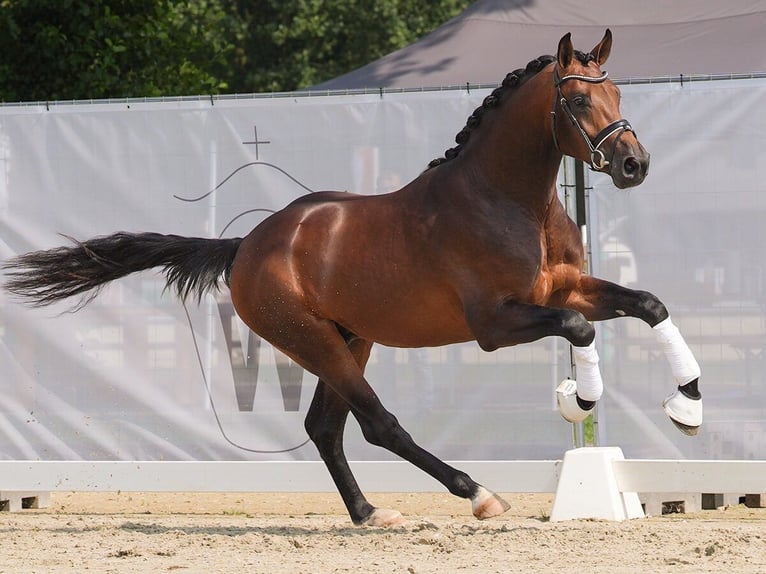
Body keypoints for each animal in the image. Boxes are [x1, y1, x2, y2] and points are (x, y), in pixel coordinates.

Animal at [4, 30, 704, 528]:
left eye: (620, 96)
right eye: (579, 98)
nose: (635, 164)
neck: (509, 200)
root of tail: (248, 245)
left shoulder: (561, 289)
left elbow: (648, 303)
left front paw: (687, 406)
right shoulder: (496, 323)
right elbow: (581, 328)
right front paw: (577, 399)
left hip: (350, 338)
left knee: (325, 427)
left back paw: (369, 513)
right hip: (314, 342)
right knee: (375, 424)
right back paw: (476, 494)